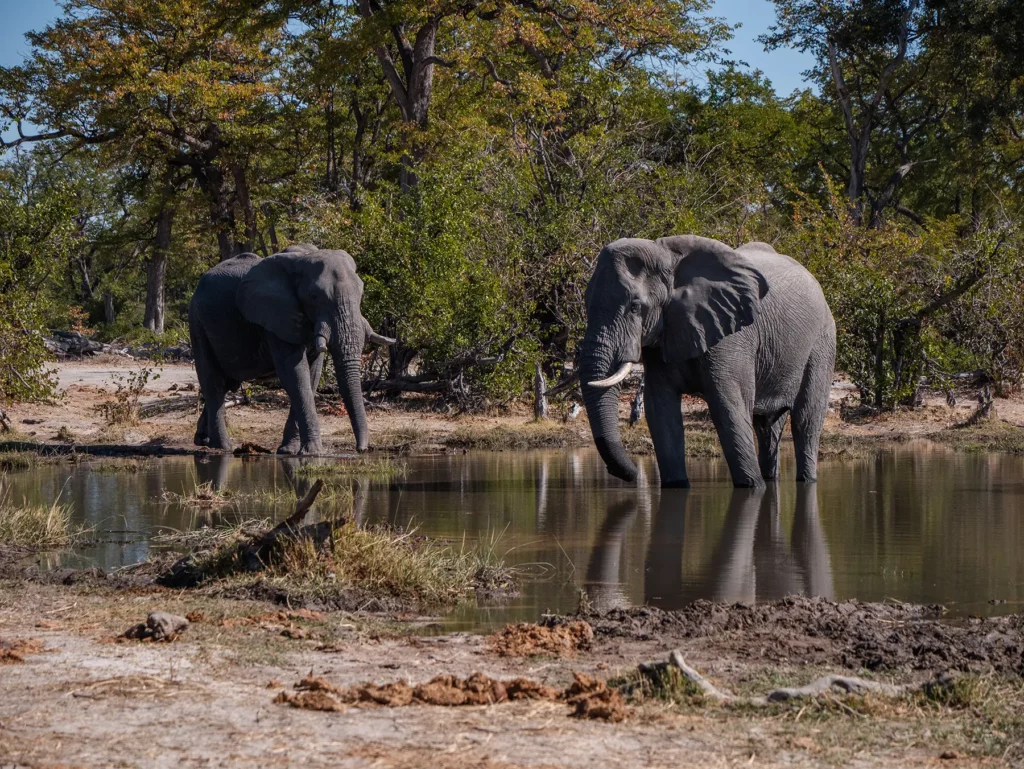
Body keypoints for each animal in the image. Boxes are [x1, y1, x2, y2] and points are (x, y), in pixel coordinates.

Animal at [188, 243, 394, 455]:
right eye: (314, 296)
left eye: (361, 293)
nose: (361, 449)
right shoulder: (275, 316)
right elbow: (294, 373)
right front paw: (313, 453)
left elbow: (312, 374)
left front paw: (289, 451)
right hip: (197, 322)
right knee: (213, 382)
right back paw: (222, 447)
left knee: (227, 384)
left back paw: (202, 440)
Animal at [580, 235, 836, 488]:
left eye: (634, 307)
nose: (633, 475)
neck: (668, 258)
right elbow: (661, 412)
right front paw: (677, 485)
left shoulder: (732, 337)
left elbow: (728, 409)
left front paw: (752, 486)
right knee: (767, 427)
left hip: (822, 342)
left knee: (805, 421)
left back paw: (804, 477)